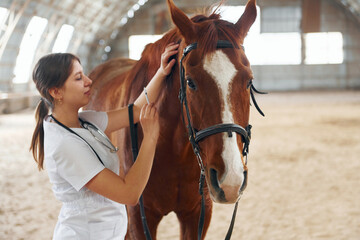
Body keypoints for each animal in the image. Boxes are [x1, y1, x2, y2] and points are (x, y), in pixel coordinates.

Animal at [84, 0, 258, 238]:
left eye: (249, 81)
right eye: (190, 82)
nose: (230, 179)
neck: (174, 151)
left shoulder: (197, 213)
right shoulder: (139, 216)